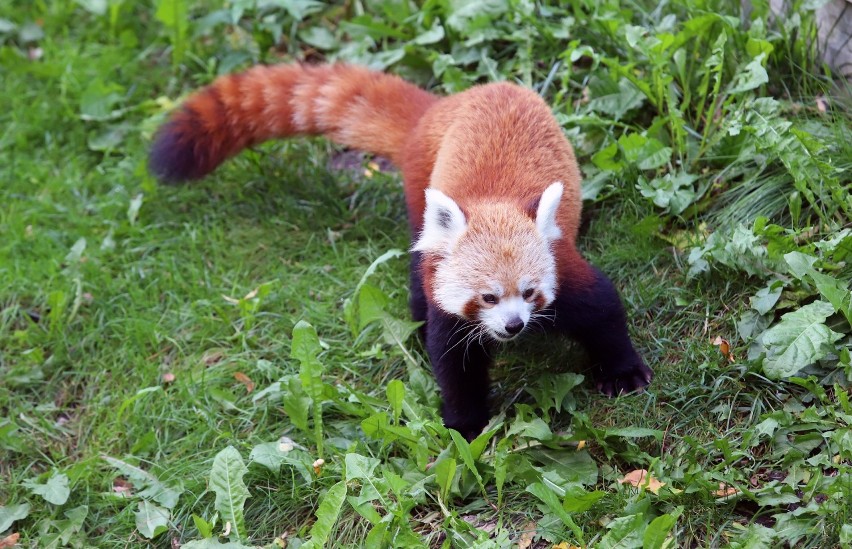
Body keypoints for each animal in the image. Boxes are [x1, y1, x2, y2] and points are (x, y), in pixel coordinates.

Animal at [150, 63, 652, 440]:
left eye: (529, 292)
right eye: (488, 297)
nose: (514, 326)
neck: (495, 202)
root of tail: (444, 106)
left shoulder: (562, 265)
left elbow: (602, 309)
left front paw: (623, 372)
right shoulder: (450, 303)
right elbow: (454, 363)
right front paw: (465, 425)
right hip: (420, 205)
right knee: (416, 270)